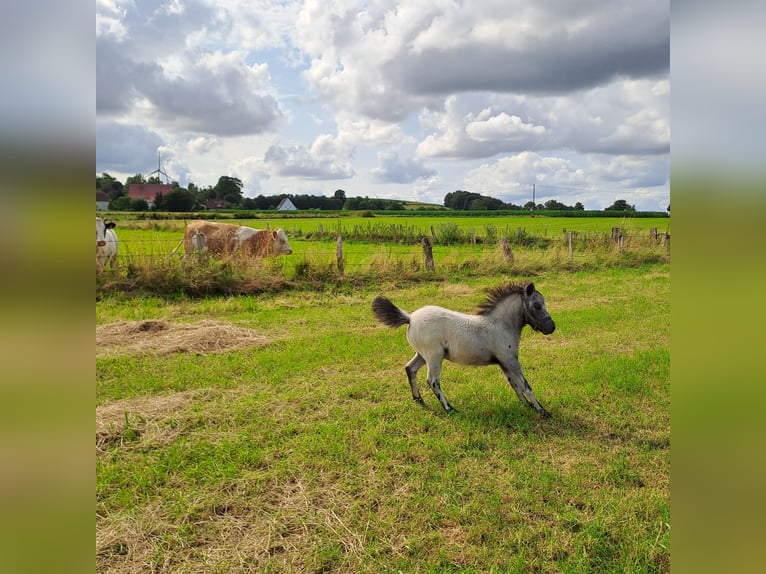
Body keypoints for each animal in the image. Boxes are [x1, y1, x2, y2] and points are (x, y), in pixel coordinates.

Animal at [374, 284, 560, 418]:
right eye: (537, 305)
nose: (551, 327)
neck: (500, 325)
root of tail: (410, 317)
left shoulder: (504, 362)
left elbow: (515, 385)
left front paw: (526, 405)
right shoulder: (510, 360)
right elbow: (525, 385)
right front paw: (542, 411)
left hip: (422, 355)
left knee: (410, 369)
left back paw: (419, 400)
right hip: (434, 356)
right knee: (433, 380)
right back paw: (450, 409)